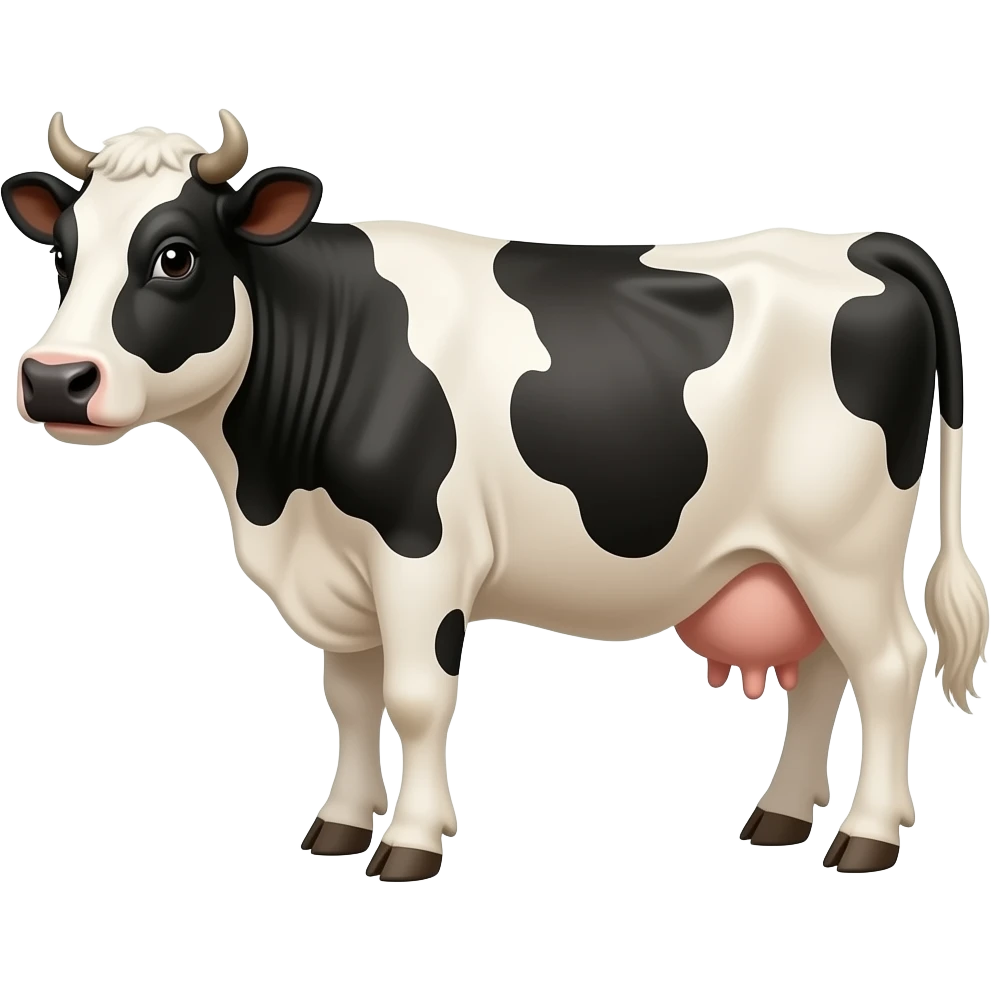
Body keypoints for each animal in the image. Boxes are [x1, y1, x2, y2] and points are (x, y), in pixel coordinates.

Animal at [4, 111, 988, 881]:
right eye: (62, 255)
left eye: (174, 256)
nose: (55, 380)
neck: (275, 490)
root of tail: (858, 240)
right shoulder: (340, 571)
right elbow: (350, 698)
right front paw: (338, 825)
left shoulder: (420, 552)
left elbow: (413, 695)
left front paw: (408, 843)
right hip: (795, 554)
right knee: (825, 668)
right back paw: (780, 816)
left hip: (844, 543)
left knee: (889, 662)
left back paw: (865, 836)